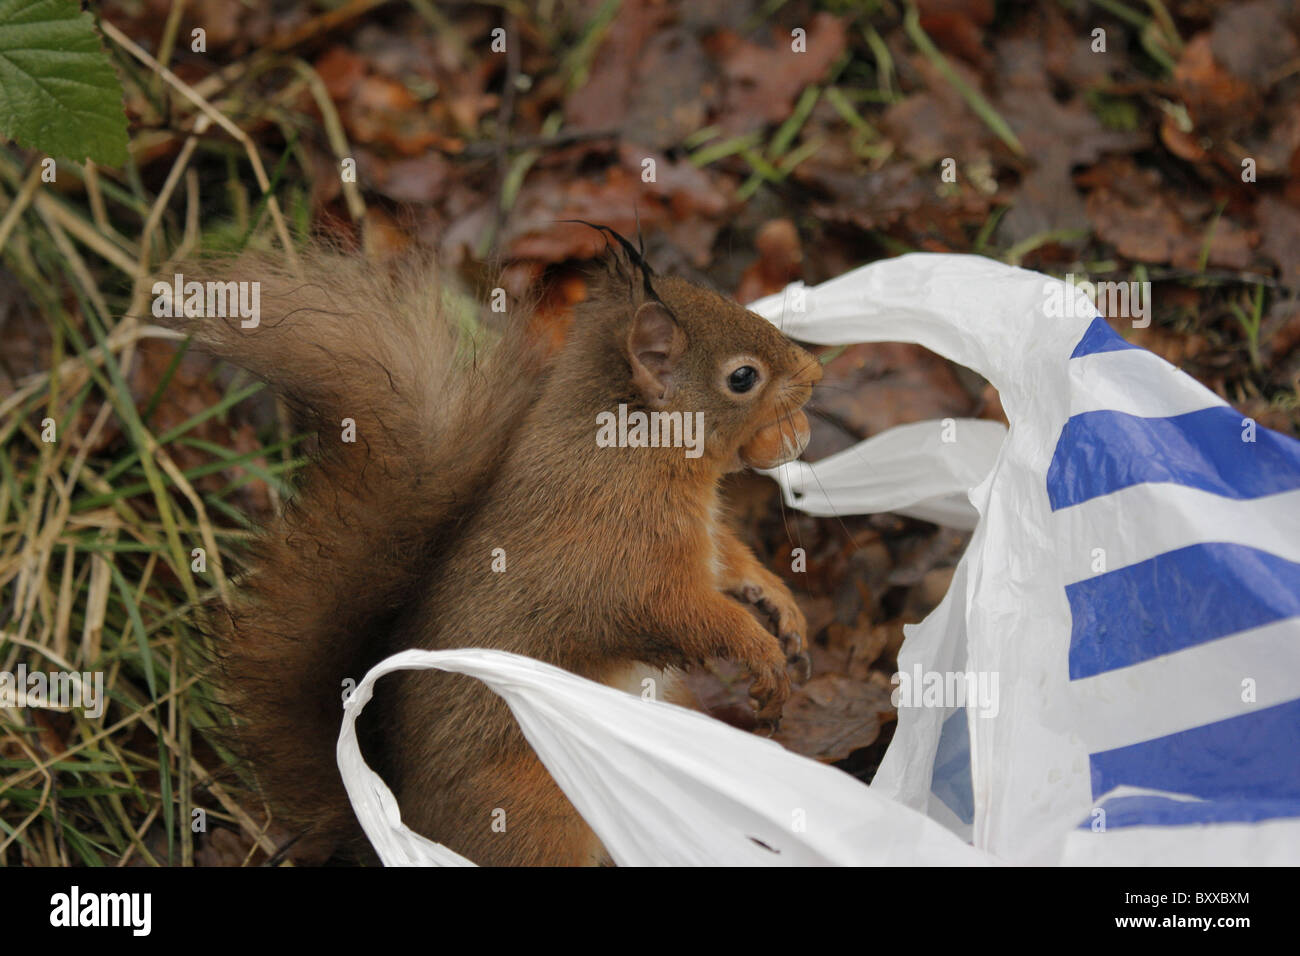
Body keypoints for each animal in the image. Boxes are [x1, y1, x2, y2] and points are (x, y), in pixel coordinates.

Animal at [162, 234, 821, 868]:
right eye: (743, 377)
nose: (814, 372)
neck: (633, 451)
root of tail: (398, 826)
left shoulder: (702, 540)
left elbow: (730, 563)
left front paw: (781, 608)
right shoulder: (618, 555)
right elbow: (679, 613)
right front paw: (760, 651)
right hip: (534, 812)